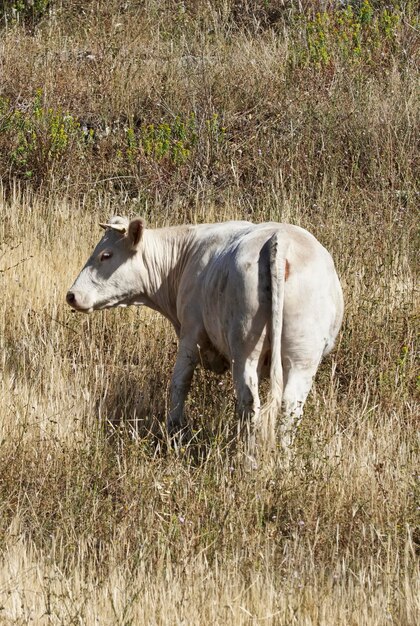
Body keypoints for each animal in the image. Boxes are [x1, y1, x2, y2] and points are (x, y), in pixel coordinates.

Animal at [66, 217, 344, 450]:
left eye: (106, 255)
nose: (71, 295)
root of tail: (281, 238)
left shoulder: (191, 333)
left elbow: (179, 383)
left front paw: (174, 432)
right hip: (303, 358)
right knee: (289, 408)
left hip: (245, 350)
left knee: (249, 403)